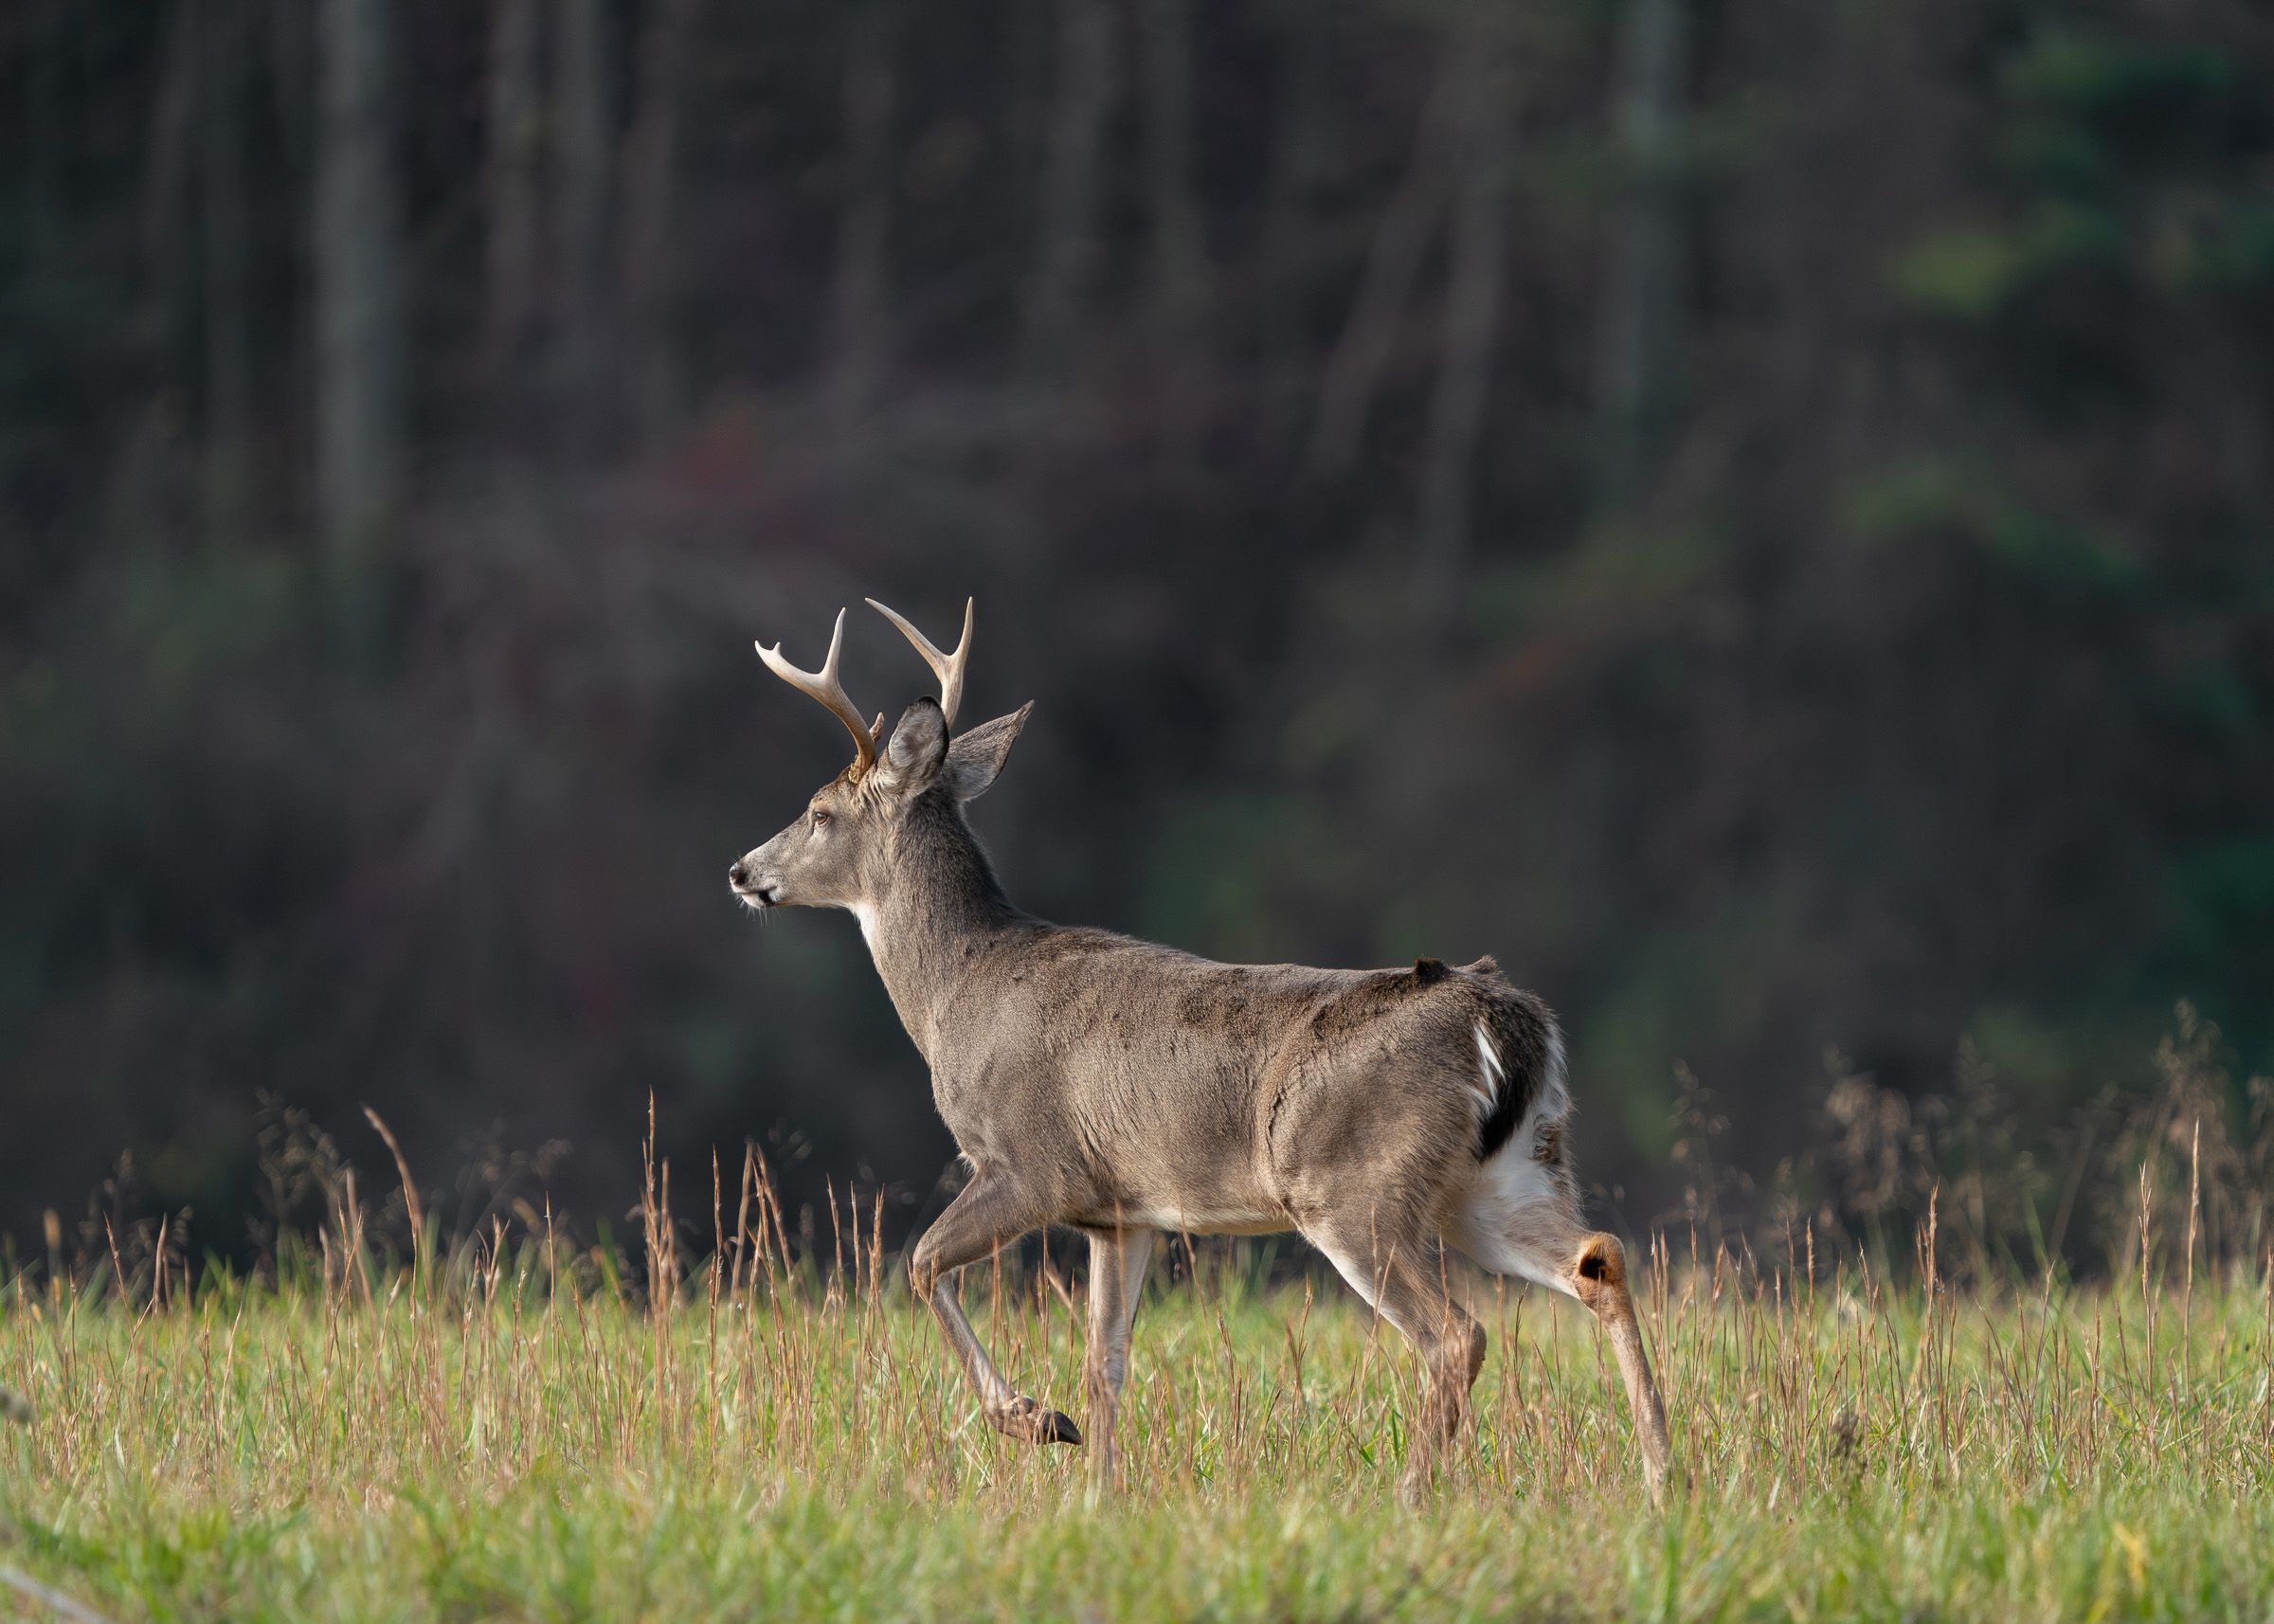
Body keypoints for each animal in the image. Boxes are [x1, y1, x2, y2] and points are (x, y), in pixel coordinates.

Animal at [728, 599, 1674, 1504]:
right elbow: (1105, 1365)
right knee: (1599, 1258)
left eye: (819, 812)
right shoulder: (1122, 1209)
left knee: (1455, 1334)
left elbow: (922, 1263)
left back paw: (1413, 1495)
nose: (741, 871)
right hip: (1501, 1173)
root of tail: (1503, 1017)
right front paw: (1096, 1496)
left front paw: (1034, 1421)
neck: (958, 991)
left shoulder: (1033, 1164)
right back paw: (1665, 1476)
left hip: (1351, 1184)